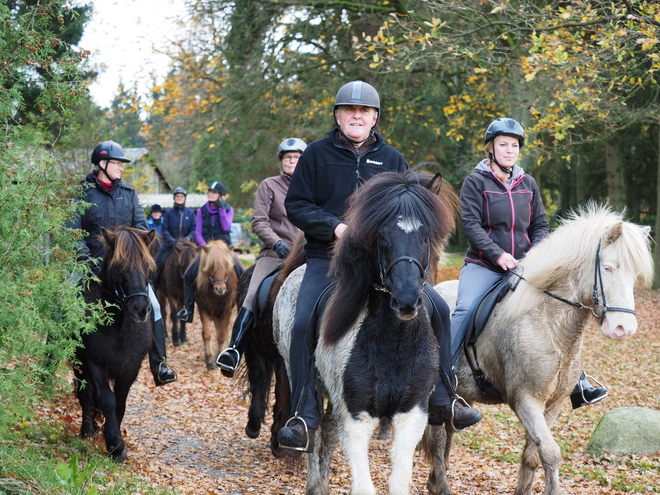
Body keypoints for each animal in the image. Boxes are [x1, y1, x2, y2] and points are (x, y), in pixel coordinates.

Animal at [74, 227, 157, 464]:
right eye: (119, 265)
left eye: (148, 266)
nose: (141, 309)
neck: (118, 326)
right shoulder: (93, 362)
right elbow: (106, 399)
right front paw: (115, 445)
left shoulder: (131, 367)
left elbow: (120, 402)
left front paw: (115, 439)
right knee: (86, 394)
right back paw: (87, 431)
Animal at [274, 170, 458, 495]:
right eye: (382, 235)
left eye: (425, 235)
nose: (406, 300)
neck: (394, 344)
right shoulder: (356, 420)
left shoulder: (412, 416)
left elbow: (399, 482)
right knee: (313, 432)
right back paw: (315, 484)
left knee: (327, 430)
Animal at [428, 203, 656, 494]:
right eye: (608, 268)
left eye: (634, 274)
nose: (623, 329)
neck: (549, 325)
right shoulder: (526, 400)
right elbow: (550, 452)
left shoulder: (553, 404)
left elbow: (532, 456)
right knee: (436, 440)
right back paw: (442, 486)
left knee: (448, 432)